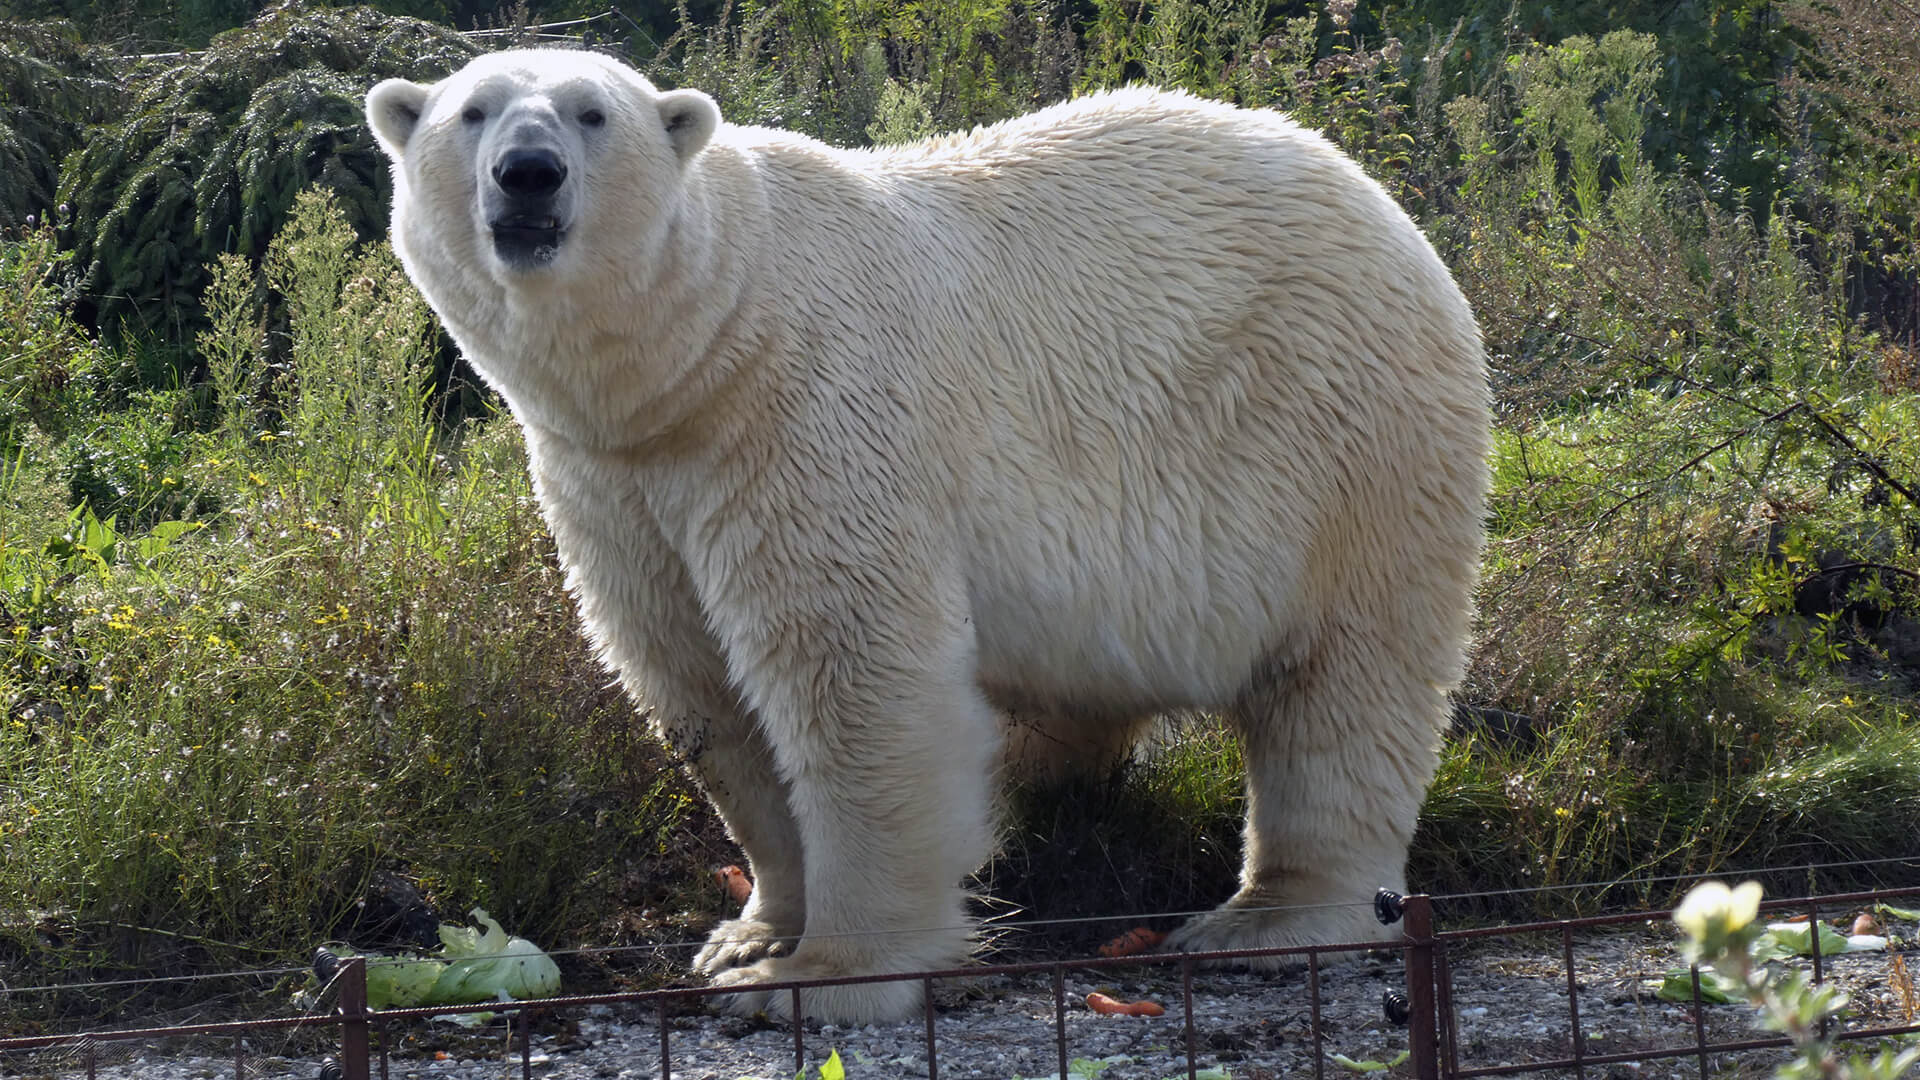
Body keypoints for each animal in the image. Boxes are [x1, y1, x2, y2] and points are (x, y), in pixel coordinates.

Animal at [366, 48, 1489, 1014]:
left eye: (593, 114)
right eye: (472, 112)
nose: (528, 174)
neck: (707, 353)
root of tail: (1383, 205)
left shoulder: (809, 423)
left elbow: (855, 675)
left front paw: (816, 977)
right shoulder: (618, 484)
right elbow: (700, 692)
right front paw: (747, 935)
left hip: (1335, 442)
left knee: (1342, 683)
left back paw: (1267, 917)